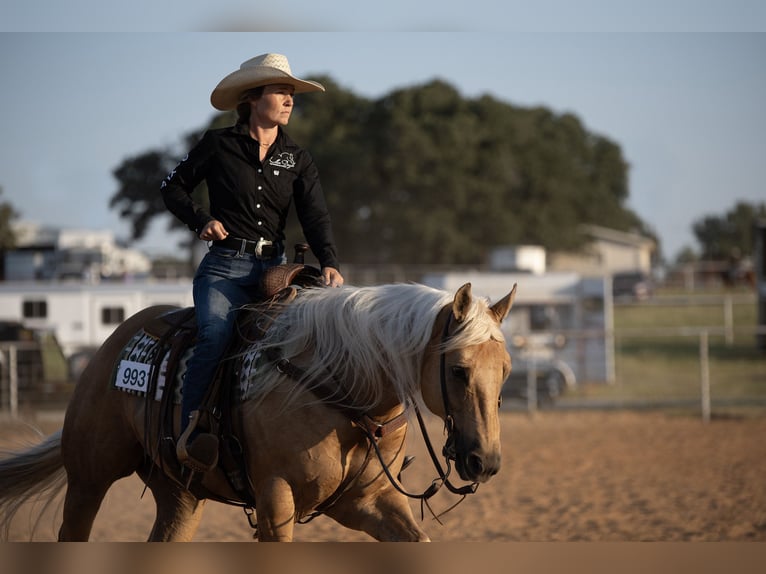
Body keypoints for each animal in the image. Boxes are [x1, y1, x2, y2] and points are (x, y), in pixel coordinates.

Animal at [0, 282, 520, 544]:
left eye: (507, 371)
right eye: (458, 369)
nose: (486, 462)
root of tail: (111, 345)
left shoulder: (369, 503)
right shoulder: (275, 503)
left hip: (180, 497)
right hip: (89, 479)